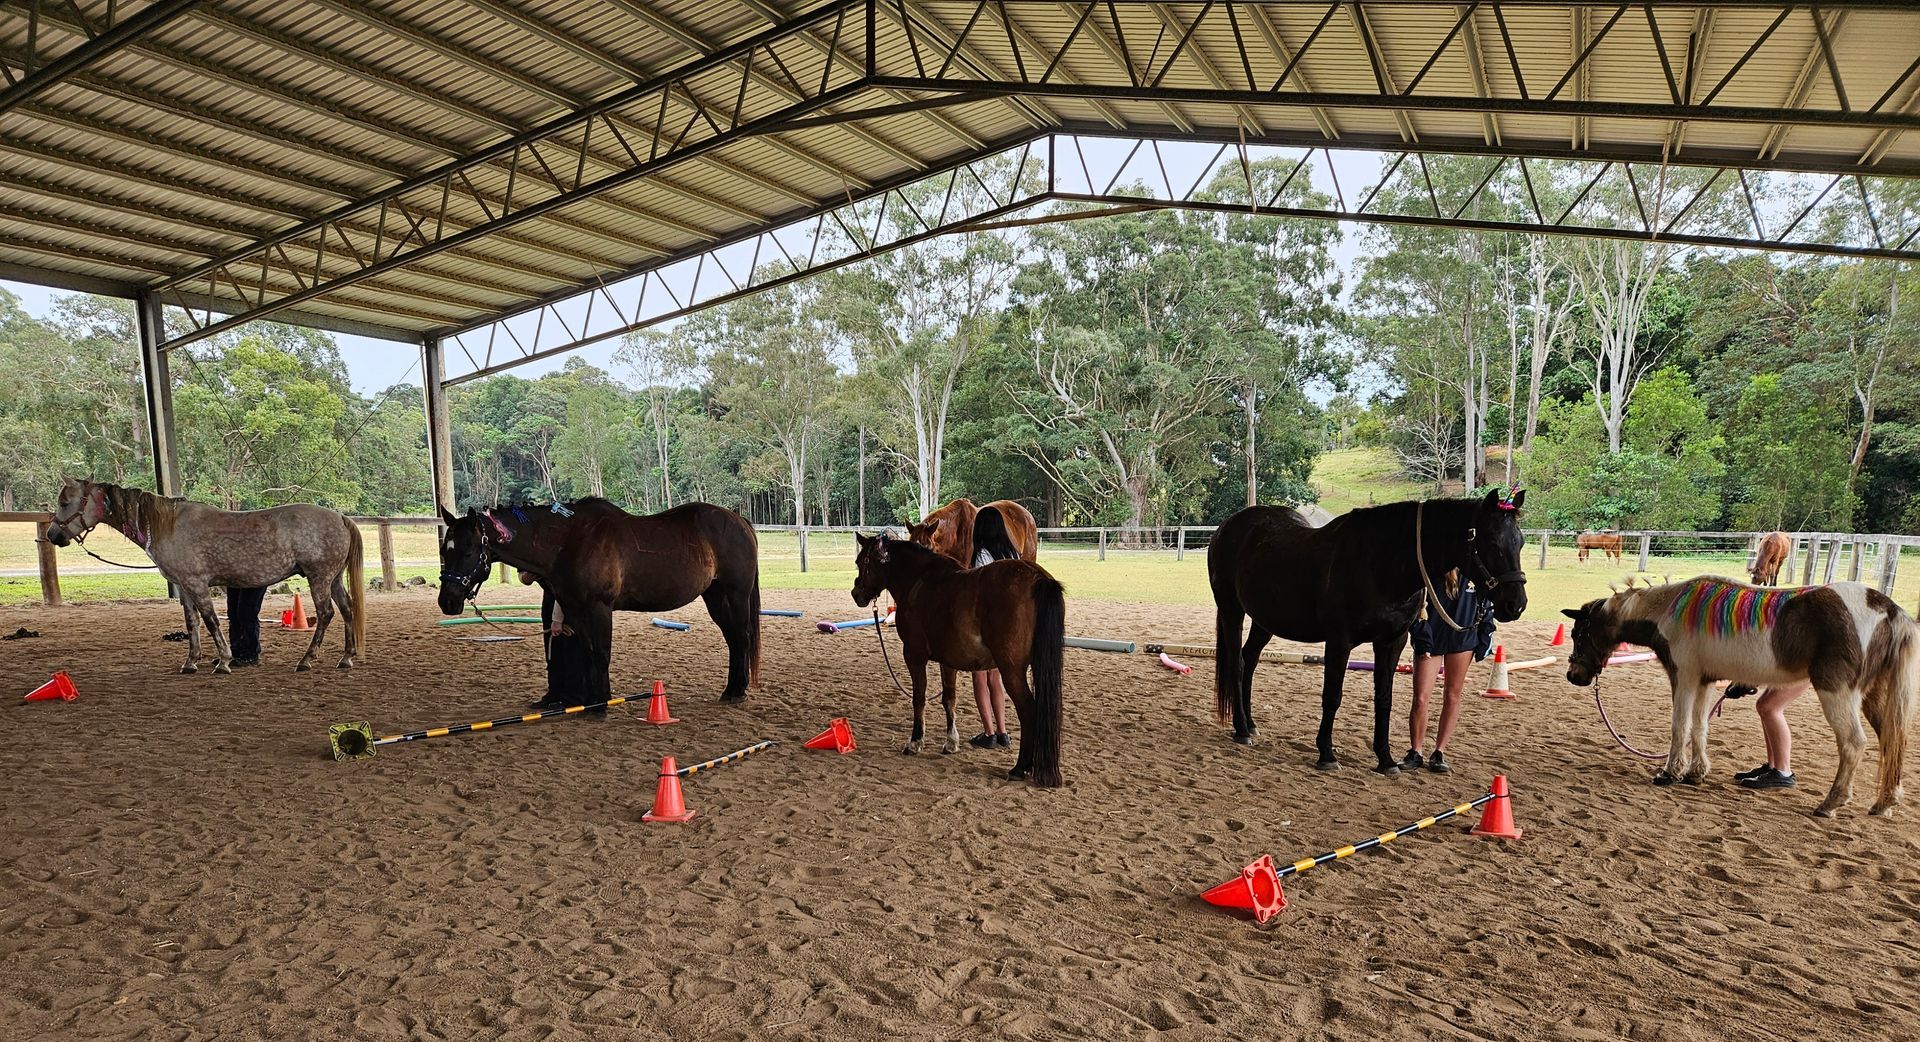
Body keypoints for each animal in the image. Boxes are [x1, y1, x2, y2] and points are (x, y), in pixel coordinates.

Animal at [45, 477, 364, 674]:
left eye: (65, 502)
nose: (52, 534)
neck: (169, 525)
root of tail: (340, 518)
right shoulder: (184, 587)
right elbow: (192, 623)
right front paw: (191, 661)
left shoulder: (197, 584)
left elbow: (211, 621)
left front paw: (223, 661)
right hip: (333, 579)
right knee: (347, 610)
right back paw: (346, 658)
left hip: (319, 578)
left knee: (325, 614)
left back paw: (306, 660)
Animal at [436, 498, 760, 704]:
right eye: (443, 549)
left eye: (468, 551)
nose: (447, 602)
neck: (570, 540)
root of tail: (739, 520)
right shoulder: (576, 609)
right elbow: (588, 652)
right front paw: (590, 700)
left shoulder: (599, 608)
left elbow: (602, 652)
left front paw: (601, 702)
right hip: (715, 598)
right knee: (734, 641)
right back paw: (733, 689)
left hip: (735, 595)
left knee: (741, 639)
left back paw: (736, 692)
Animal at [850, 533, 1065, 786]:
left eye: (861, 562)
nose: (856, 594)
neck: (918, 580)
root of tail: (1037, 578)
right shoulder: (948, 661)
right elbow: (949, 699)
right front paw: (951, 742)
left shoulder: (914, 656)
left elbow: (919, 699)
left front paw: (915, 742)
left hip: (1011, 670)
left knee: (1029, 711)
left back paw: (1020, 767)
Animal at [1208, 490, 1529, 772]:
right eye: (1491, 542)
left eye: (1521, 543)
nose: (1516, 604)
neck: (1383, 564)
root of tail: (1228, 526)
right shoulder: (1339, 641)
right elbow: (1332, 696)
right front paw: (1326, 755)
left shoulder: (1392, 641)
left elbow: (1383, 699)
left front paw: (1385, 760)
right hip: (1231, 610)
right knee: (1237, 664)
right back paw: (1241, 729)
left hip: (1265, 620)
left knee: (1249, 660)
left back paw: (1250, 724)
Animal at [1562, 577, 1915, 816]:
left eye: (1579, 633)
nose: (1573, 676)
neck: (1669, 610)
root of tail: (1888, 609)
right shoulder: (1704, 681)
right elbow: (1699, 727)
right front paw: (1695, 773)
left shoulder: (1684, 677)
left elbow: (1679, 726)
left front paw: (1669, 773)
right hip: (1875, 697)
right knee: (1891, 740)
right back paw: (1884, 803)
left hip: (1837, 693)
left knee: (1853, 743)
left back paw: (1830, 803)